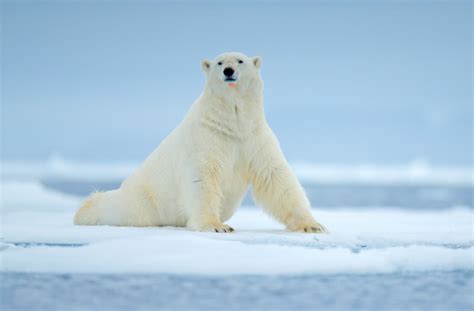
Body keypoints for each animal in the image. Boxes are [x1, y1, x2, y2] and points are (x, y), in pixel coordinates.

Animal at [75, 52, 326, 234]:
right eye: (219, 62)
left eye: (240, 61)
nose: (228, 71)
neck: (232, 123)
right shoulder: (207, 138)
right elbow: (203, 177)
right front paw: (217, 226)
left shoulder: (254, 138)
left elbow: (275, 177)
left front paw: (312, 225)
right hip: (144, 200)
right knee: (117, 207)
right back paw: (85, 210)